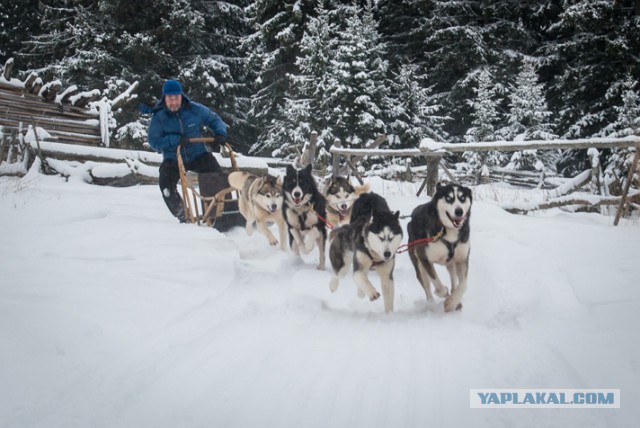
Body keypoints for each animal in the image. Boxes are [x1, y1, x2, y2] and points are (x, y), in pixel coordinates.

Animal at [408, 181, 472, 310]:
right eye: (448, 198)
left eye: (462, 198)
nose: (459, 211)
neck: (448, 230)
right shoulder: (424, 258)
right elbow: (436, 281)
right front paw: (443, 292)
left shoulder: (462, 258)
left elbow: (463, 284)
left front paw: (452, 302)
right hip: (419, 264)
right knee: (426, 285)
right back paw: (431, 303)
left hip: (451, 263)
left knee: (453, 278)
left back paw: (455, 299)